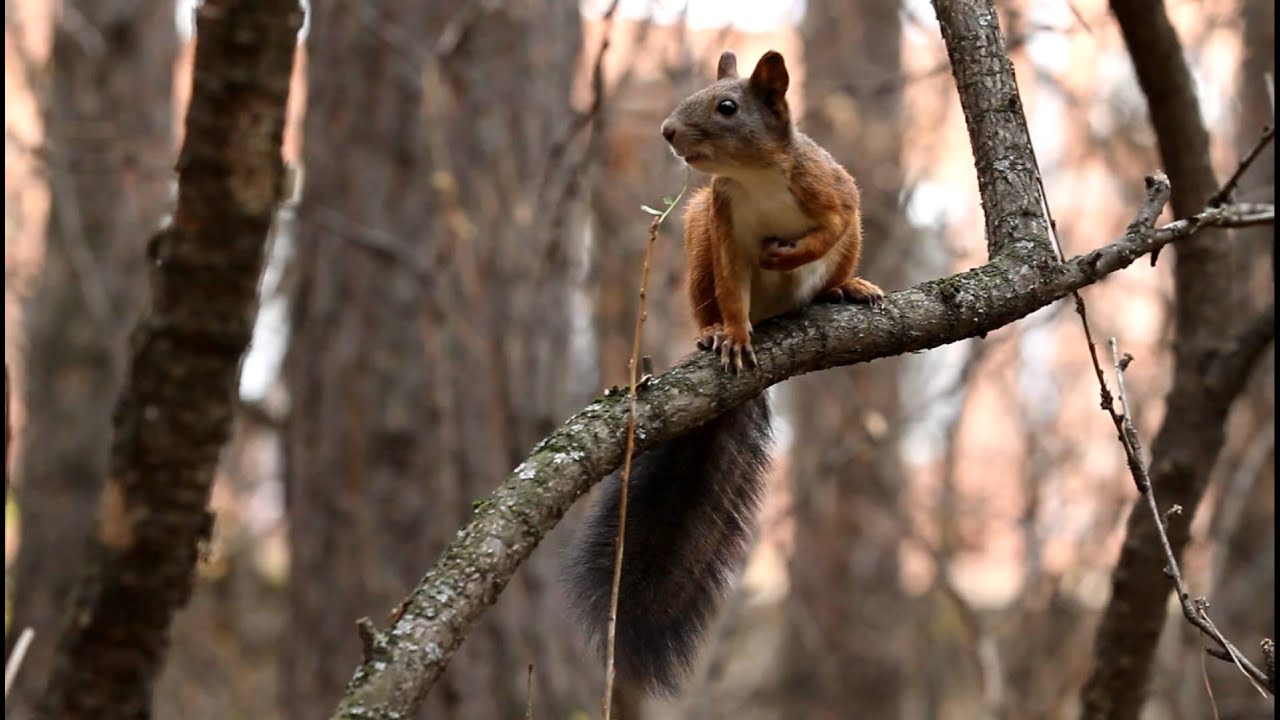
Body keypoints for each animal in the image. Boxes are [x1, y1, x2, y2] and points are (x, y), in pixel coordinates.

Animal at [560, 50, 880, 696]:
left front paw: (790, 253)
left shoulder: (832, 192)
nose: (666, 132)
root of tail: (776, 317)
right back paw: (714, 334)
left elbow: (828, 231)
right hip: (697, 227)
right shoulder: (724, 220)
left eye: (727, 106)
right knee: (715, 298)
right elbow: (733, 287)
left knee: (837, 262)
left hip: (843, 241)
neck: (755, 177)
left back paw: (845, 288)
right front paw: (730, 334)